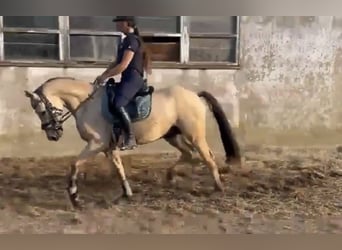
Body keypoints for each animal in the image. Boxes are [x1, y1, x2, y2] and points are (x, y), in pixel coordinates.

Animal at [24, 76, 242, 209]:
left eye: (41, 110)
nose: (53, 135)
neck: (87, 104)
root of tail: (194, 95)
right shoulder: (108, 148)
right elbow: (118, 168)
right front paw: (126, 193)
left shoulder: (96, 144)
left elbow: (74, 164)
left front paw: (74, 197)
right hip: (172, 135)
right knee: (189, 154)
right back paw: (170, 176)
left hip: (194, 135)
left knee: (207, 157)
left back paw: (218, 188)